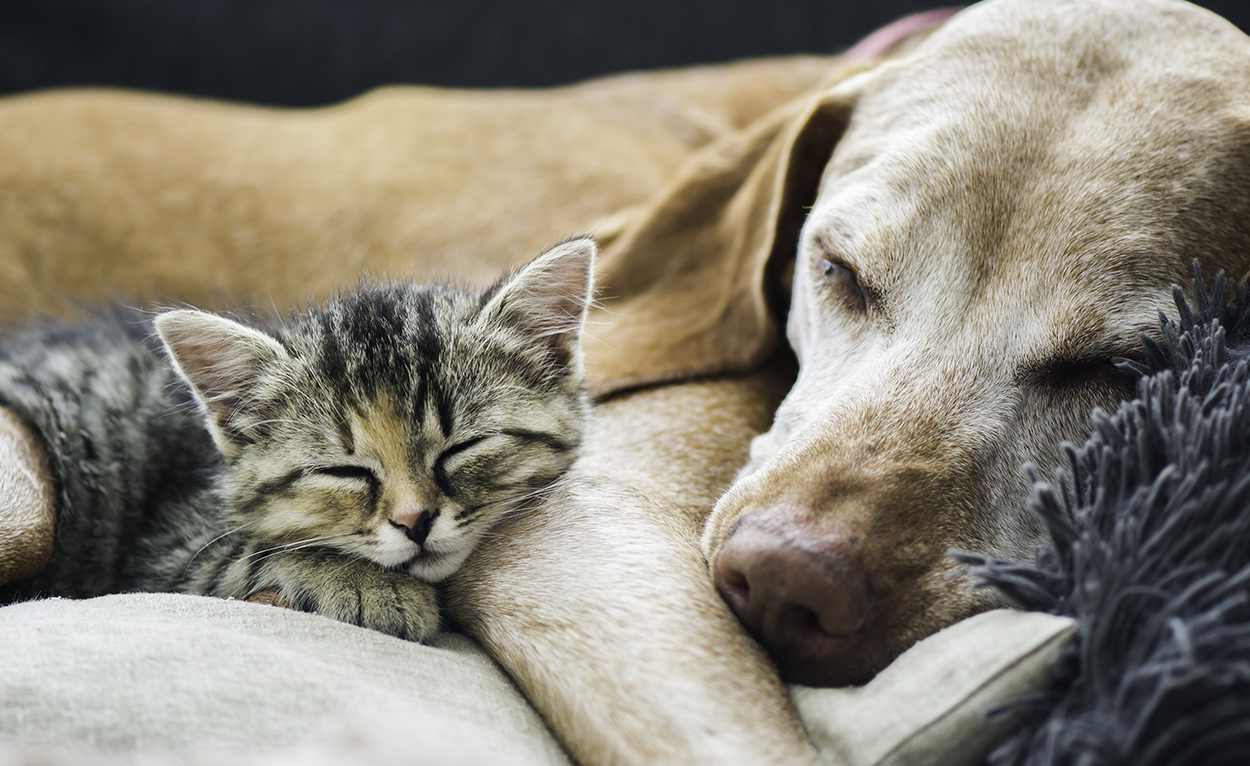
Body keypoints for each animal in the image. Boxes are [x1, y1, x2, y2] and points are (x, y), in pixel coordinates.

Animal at [0, 237, 592, 639]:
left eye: (462, 449)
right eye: (343, 471)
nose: (414, 521)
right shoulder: (169, 553)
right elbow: (256, 553)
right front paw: (375, 587)